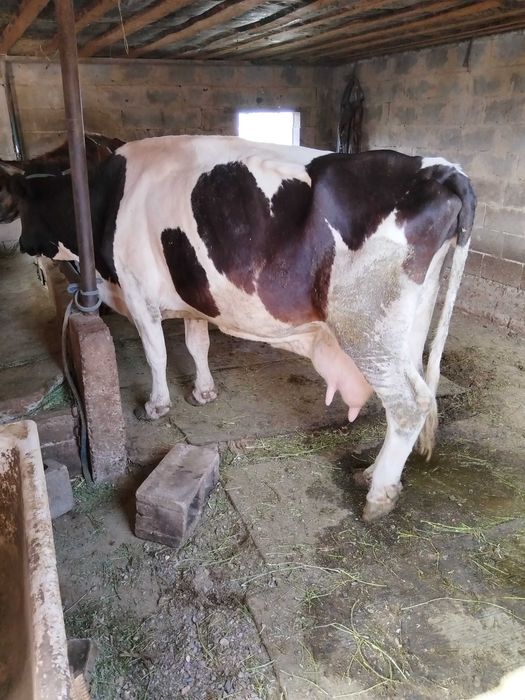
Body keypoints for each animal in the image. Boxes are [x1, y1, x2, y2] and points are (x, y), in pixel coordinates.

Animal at [8, 135, 476, 521]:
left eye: (23, 206)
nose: (22, 246)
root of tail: (440, 169)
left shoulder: (139, 294)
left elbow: (156, 353)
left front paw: (157, 406)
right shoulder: (195, 297)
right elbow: (196, 345)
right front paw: (203, 392)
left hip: (367, 329)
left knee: (408, 407)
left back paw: (378, 495)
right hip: (407, 329)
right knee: (419, 395)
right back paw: (372, 472)